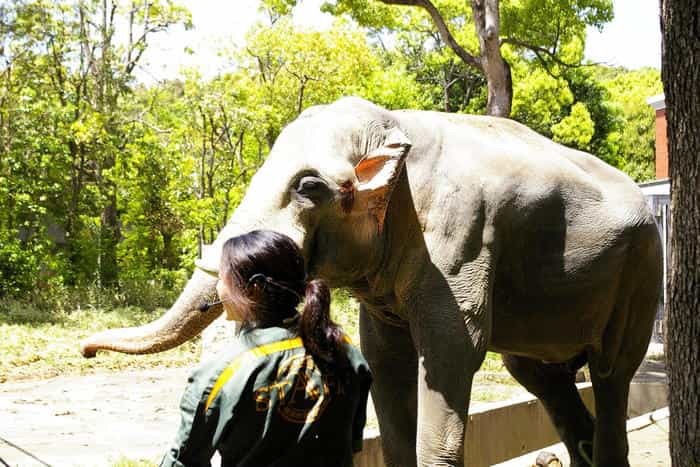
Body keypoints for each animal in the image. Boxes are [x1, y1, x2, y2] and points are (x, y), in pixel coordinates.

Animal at [82, 97, 660, 466]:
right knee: (542, 379)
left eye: (308, 186)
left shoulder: (461, 241)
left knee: (611, 376)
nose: (85, 350)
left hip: (641, 275)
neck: (394, 127)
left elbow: (451, 354)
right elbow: (385, 359)